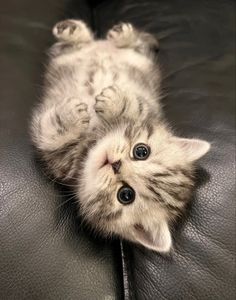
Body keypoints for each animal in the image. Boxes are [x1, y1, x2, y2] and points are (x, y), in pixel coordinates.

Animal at [31, 19, 210, 252]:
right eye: (141, 151)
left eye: (126, 195)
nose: (115, 164)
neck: (95, 136)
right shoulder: (150, 111)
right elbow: (136, 105)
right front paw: (109, 103)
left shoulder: (59, 162)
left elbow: (50, 134)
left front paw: (79, 113)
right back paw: (88, 31)